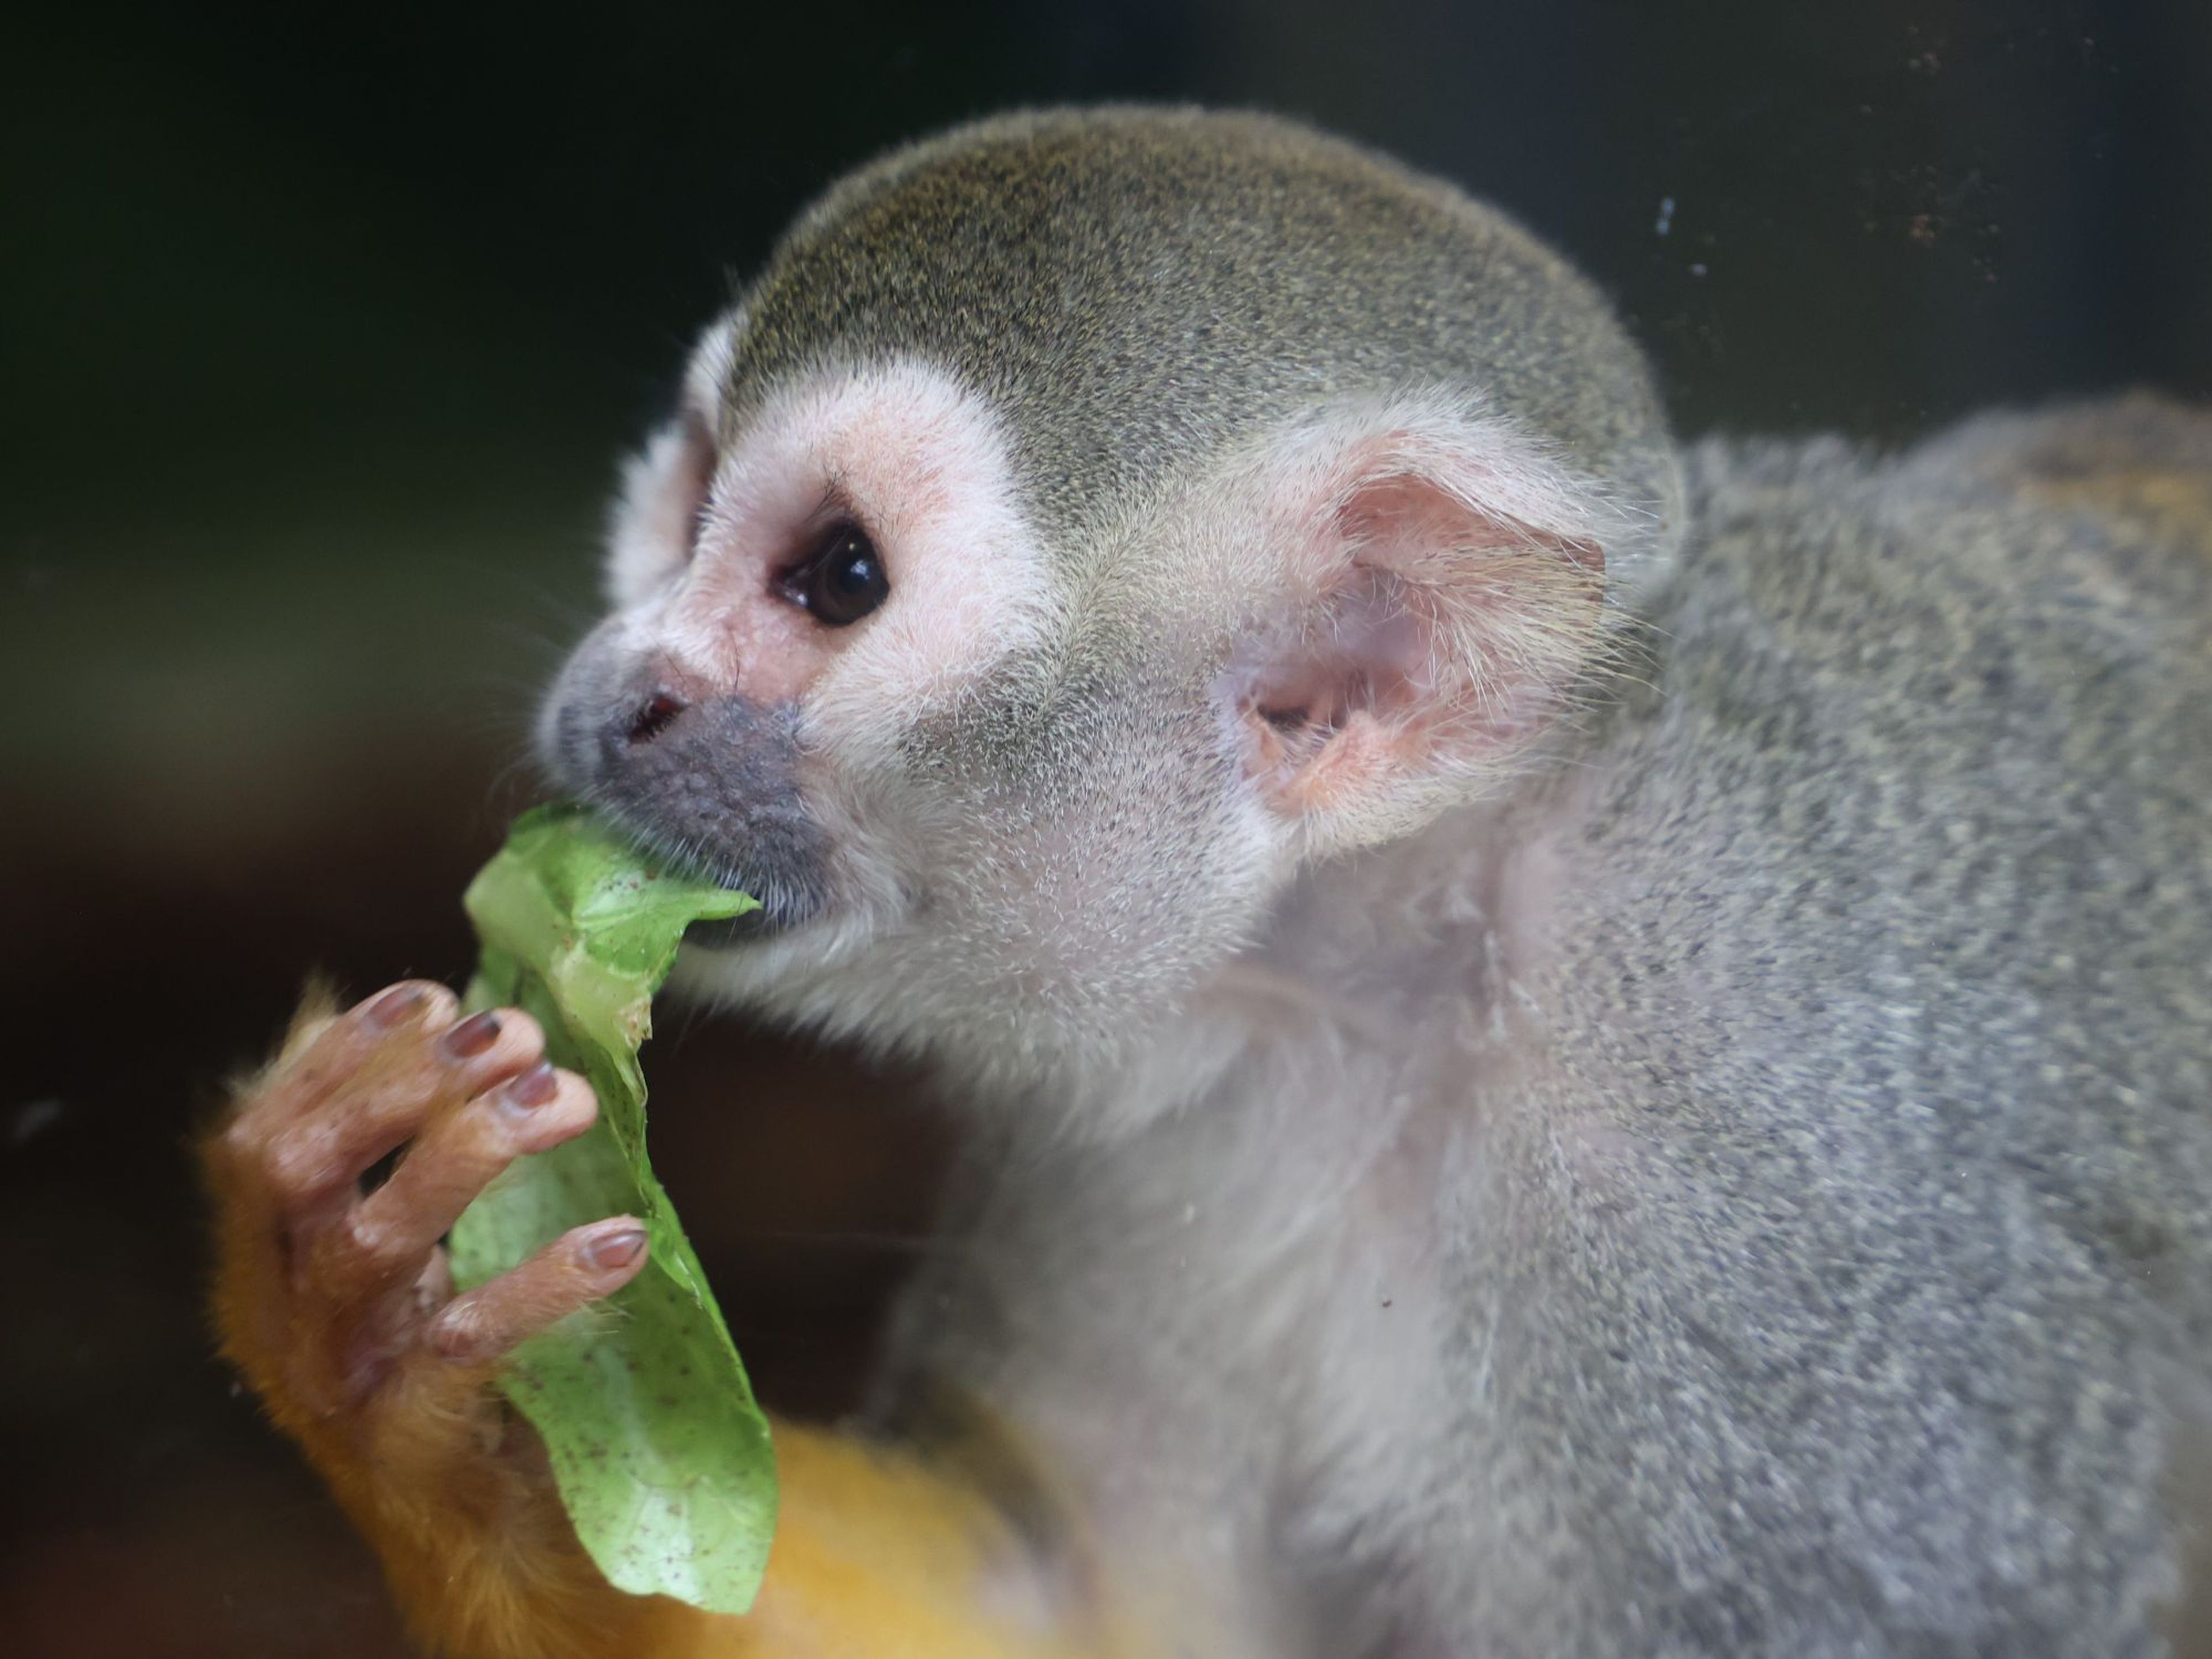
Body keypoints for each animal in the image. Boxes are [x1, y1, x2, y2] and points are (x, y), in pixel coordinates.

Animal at [199, 106, 2212, 1658]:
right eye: (686, 508)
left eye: (835, 581)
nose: (616, 695)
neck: (1414, 963)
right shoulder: (1169, 1134)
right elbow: (1098, 1616)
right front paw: (403, 1368)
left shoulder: (1770, 1248)